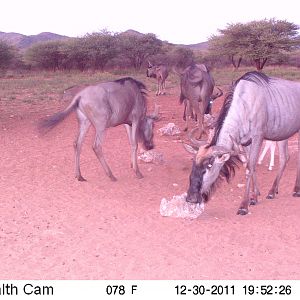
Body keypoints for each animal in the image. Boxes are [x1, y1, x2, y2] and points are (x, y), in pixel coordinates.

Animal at [185, 71, 300, 214]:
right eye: (193, 164)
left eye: (209, 166)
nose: (191, 198)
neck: (246, 104)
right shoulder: (246, 143)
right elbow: (252, 166)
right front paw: (254, 197)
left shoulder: (257, 138)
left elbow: (249, 168)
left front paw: (244, 206)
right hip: (282, 135)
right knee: (285, 158)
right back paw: (272, 191)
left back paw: (296, 190)